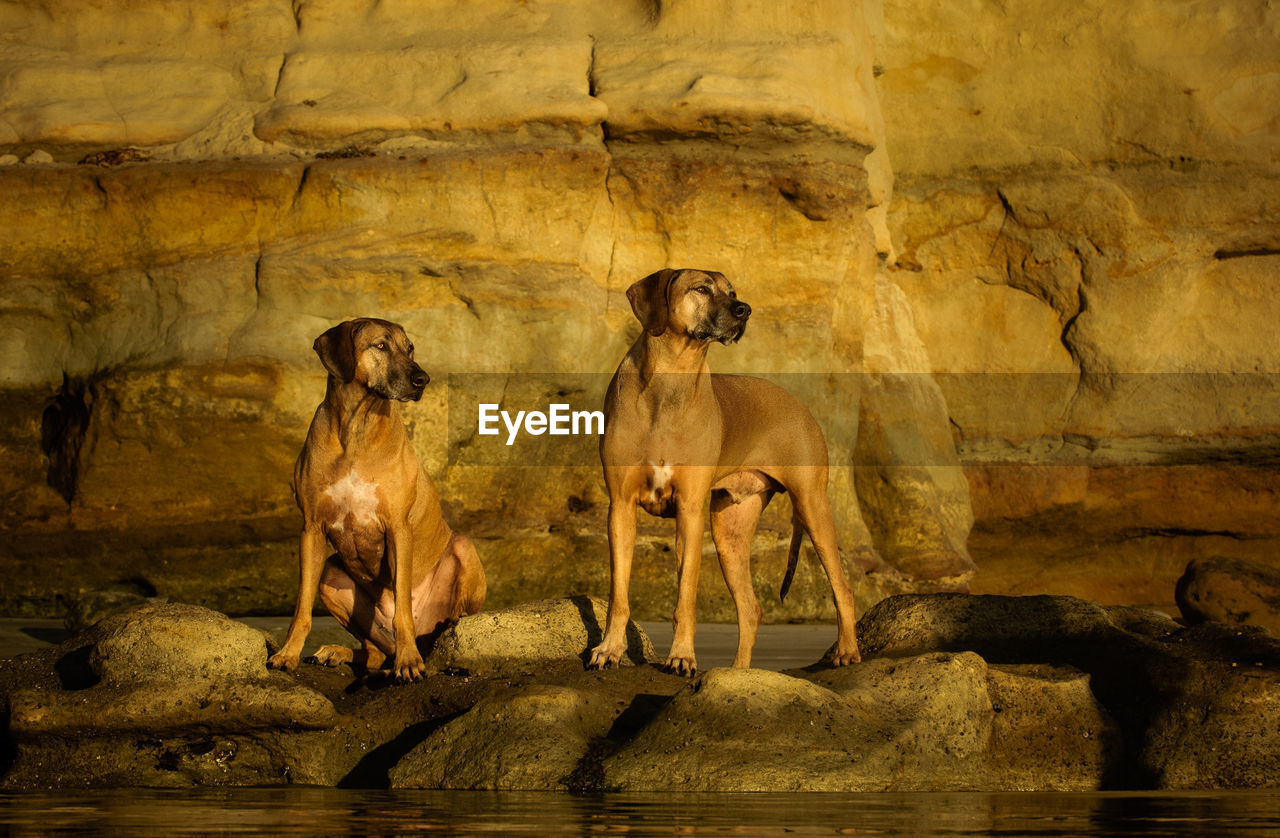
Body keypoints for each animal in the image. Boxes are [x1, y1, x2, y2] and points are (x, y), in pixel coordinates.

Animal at [267, 318, 486, 680]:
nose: (422, 379)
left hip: (462, 547)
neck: (357, 426)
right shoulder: (310, 529)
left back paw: (442, 637)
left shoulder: (398, 527)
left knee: (443, 622)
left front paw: (409, 663)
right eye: (380, 346)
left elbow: (403, 612)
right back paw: (338, 652)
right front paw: (287, 654)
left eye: (410, 348)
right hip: (331, 576)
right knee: (373, 653)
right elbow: (301, 609)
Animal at [588, 268, 860, 675]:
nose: (744, 309)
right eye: (701, 288)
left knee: (843, 588)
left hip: (812, 506)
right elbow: (618, 593)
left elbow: (686, 596)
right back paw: (739, 673)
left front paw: (682, 657)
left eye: (733, 292)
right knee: (751, 608)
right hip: (730, 528)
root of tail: (800, 405)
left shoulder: (690, 510)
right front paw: (609, 649)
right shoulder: (620, 507)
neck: (672, 378)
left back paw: (846, 651)